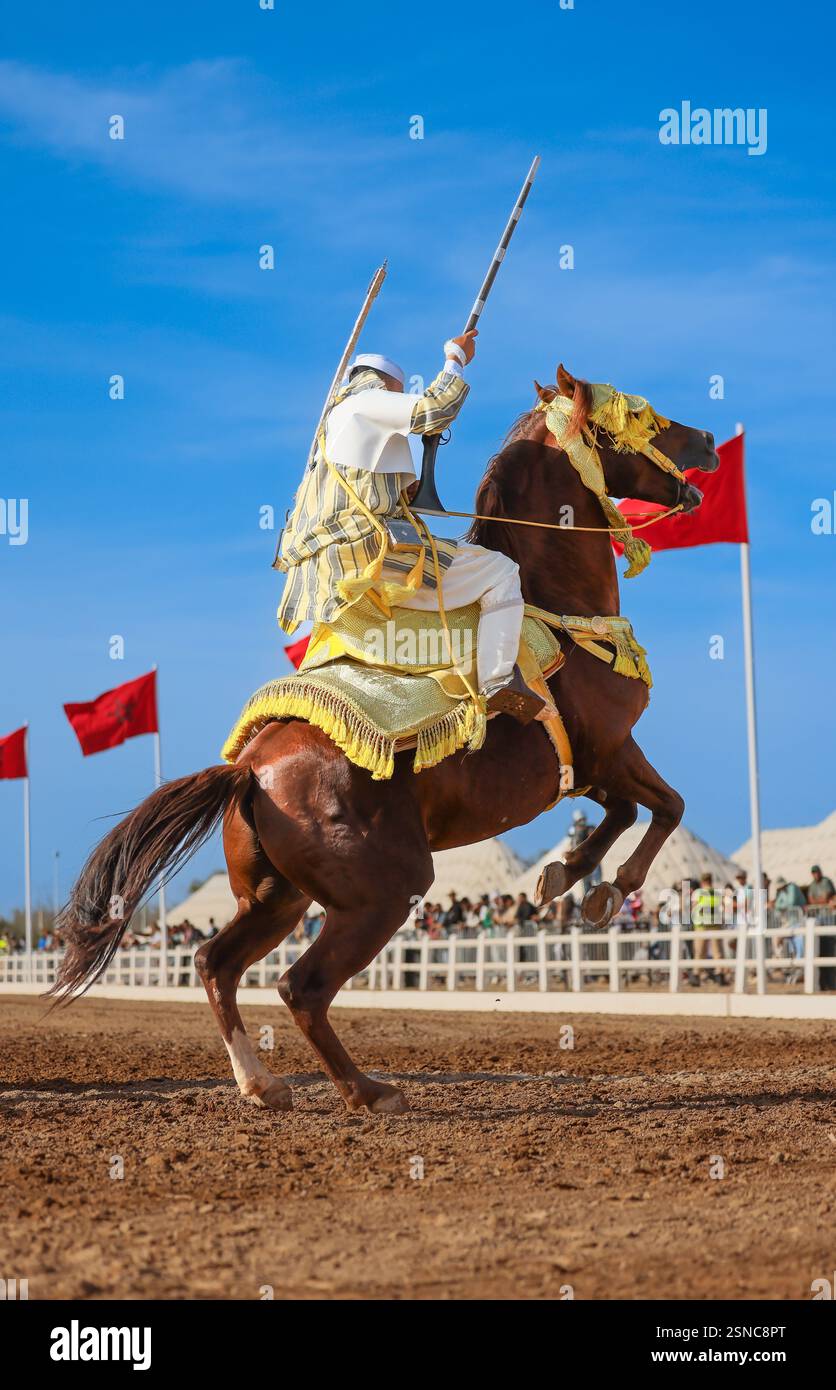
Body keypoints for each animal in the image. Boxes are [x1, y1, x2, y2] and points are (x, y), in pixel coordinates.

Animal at [51, 364, 719, 1116]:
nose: (709, 438)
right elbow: (664, 806)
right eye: (639, 415)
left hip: (280, 899)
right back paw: (368, 1091)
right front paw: (606, 888)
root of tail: (250, 768)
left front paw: (569, 878)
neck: (559, 610)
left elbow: (632, 810)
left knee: (214, 963)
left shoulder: (589, 767)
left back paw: (262, 1083)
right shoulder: (610, 748)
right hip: (384, 894)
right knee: (300, 987)